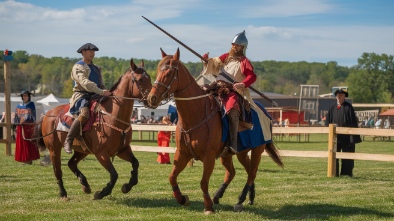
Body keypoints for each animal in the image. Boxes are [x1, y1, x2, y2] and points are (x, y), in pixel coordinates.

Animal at [33, 58, 152, 200]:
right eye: (140, 79)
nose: (153, 98)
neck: (112, 116)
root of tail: (47, 114)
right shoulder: (101, 153)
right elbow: (114, 174)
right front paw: (101, 193)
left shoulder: (123, 150)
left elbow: (135, 163)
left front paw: (126, 187)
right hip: (54, 149)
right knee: (58, 170)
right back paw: (63, 193)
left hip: (82, 150)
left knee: (71, 163)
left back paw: (85, 185)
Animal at [147, 48, 284, 214]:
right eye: (158, 70)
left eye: (168, 73)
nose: (152, 98)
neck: (197, 113)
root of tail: (265, 112)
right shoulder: (183, 154)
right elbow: (172, 177)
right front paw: (182, 199)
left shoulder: (209, 157)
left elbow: (203, 182)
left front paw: (208, 207)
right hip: (237, 152)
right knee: (238, 171)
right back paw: (230, 196)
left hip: (257, 149)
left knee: (251, 172)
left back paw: (240, 199)